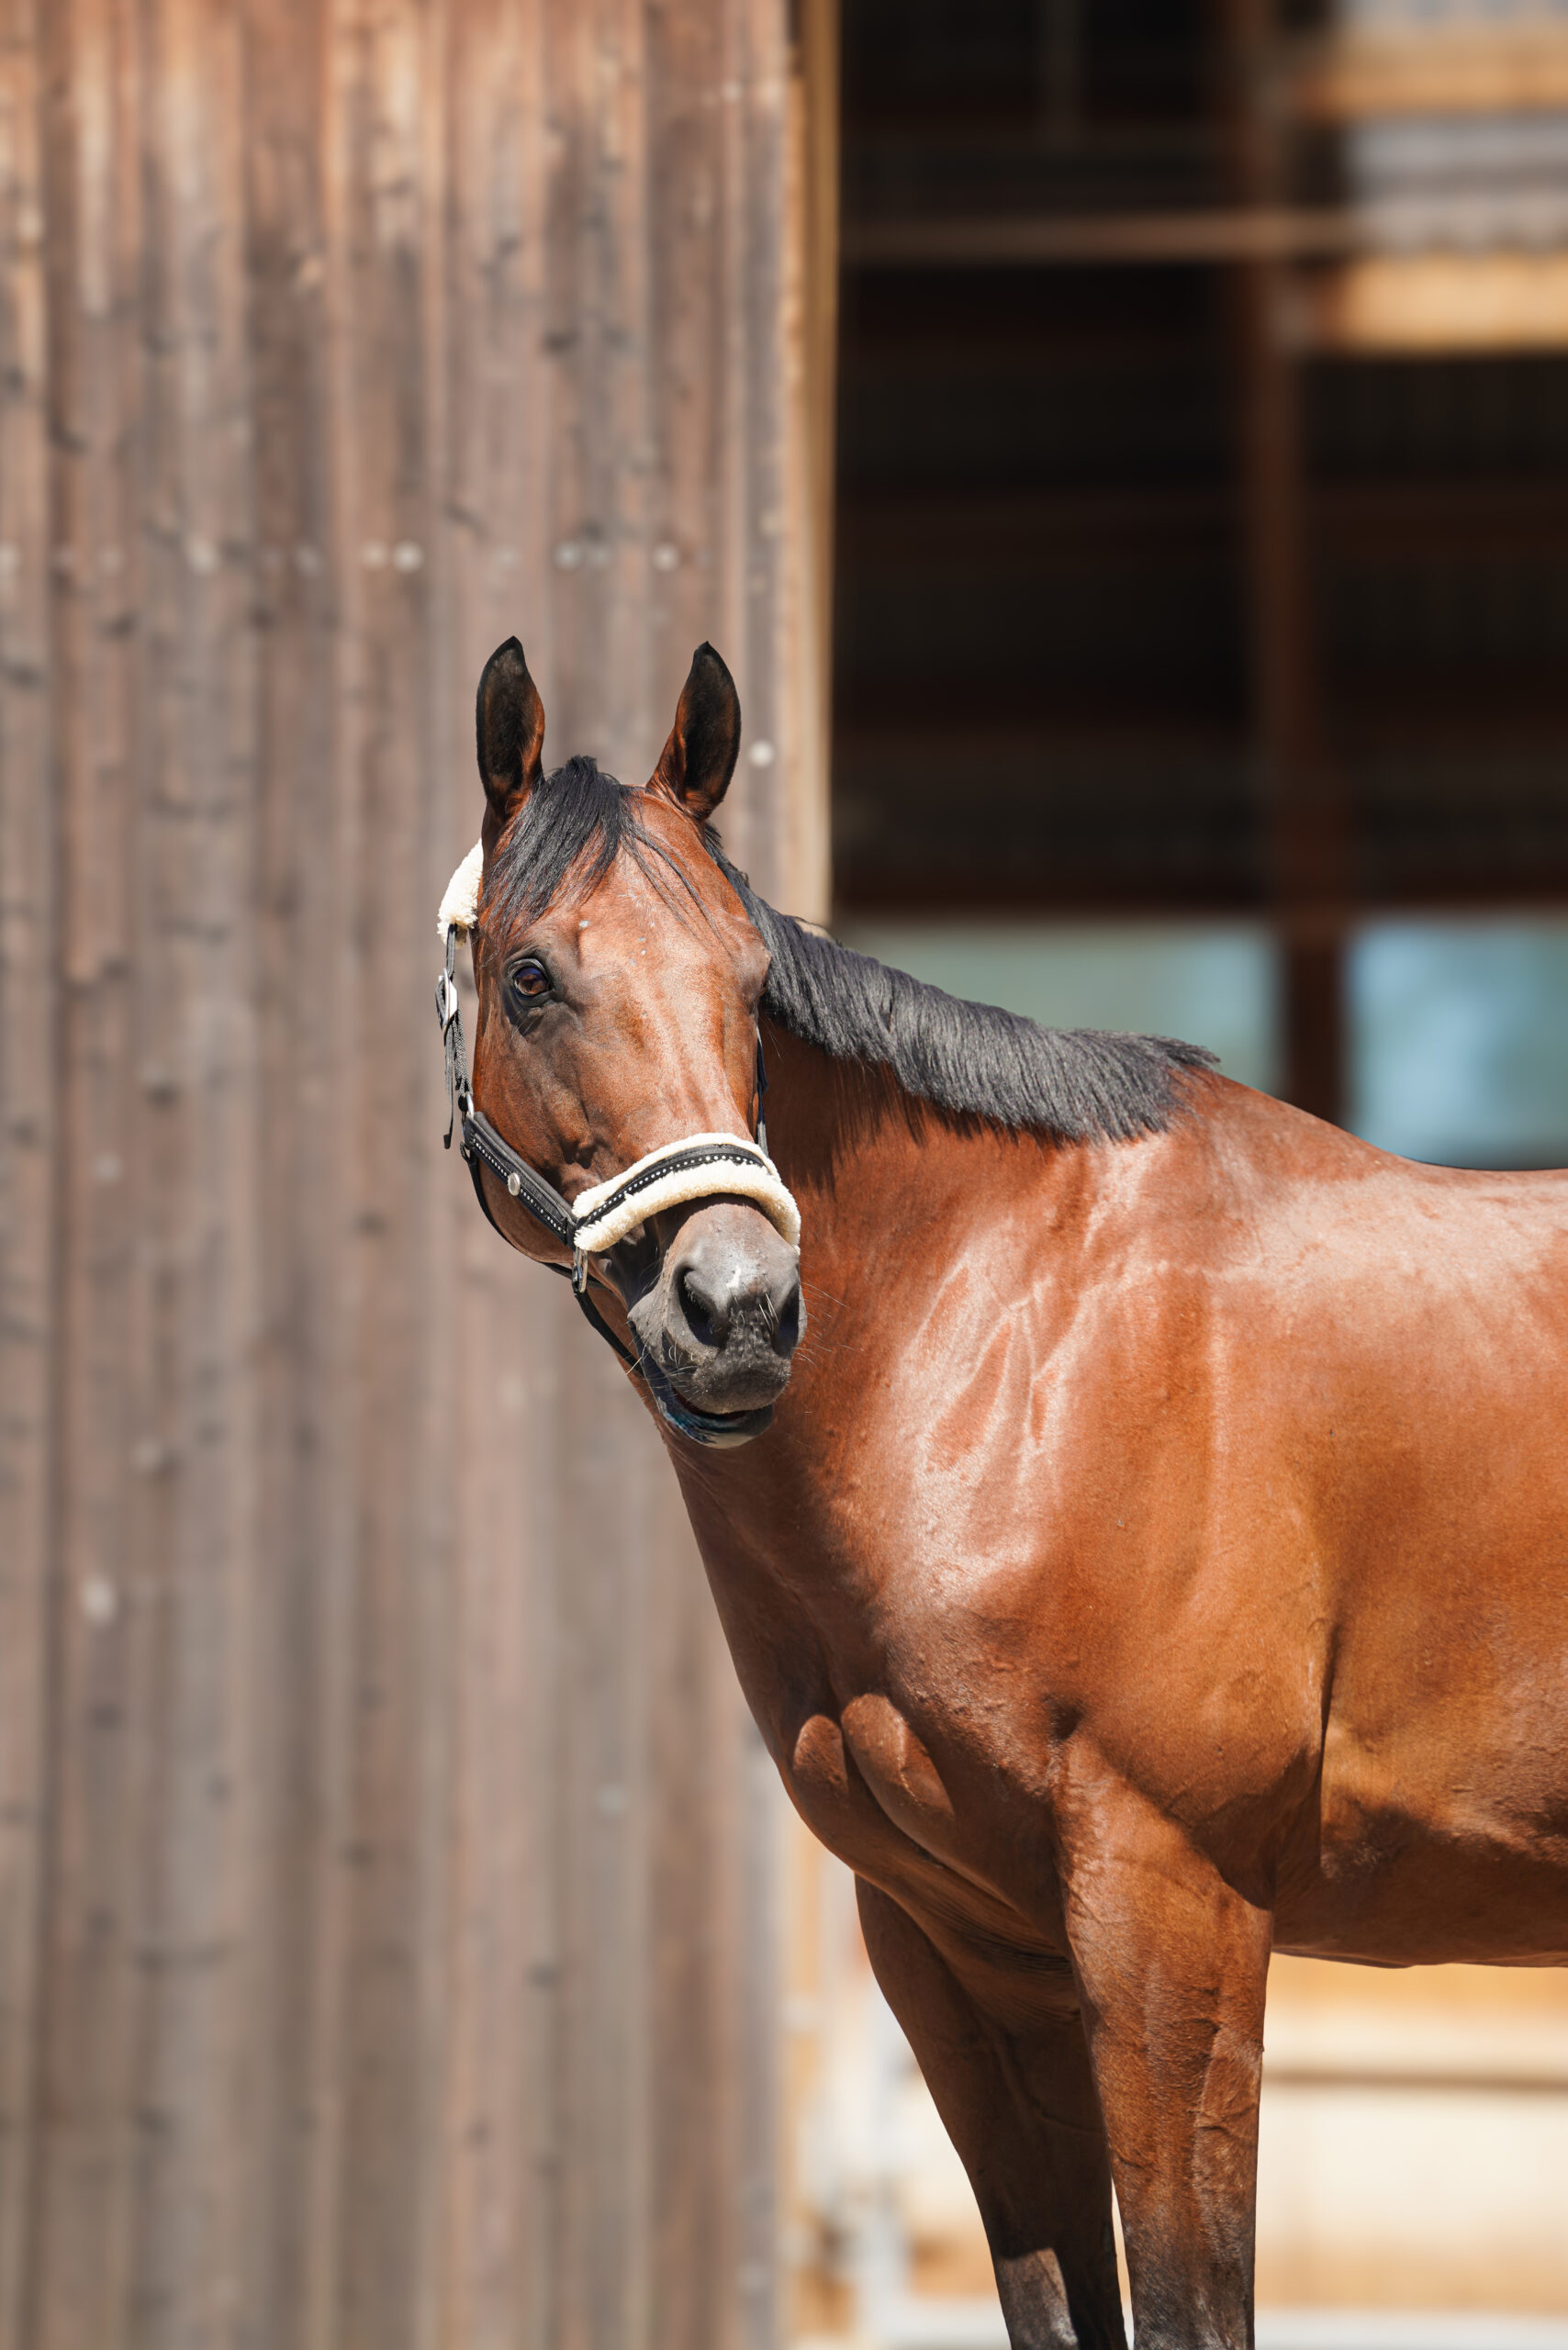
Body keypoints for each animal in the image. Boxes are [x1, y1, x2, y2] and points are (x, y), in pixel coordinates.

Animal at [439, 635, 1568, 2350]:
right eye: (530, 977)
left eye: (751, 987)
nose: (738, 1308)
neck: (1019, 1343)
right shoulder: (957, 1961)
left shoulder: (1173, 1922)